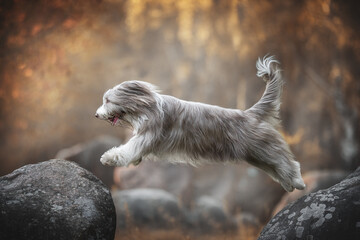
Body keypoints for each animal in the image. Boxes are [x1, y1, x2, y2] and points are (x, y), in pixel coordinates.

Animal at [95, 55, 304, 191]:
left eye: (107, 100)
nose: (96, 115)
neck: (148, 107)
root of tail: (250, 113)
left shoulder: (148, 134)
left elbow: (127, 150)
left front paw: (108, 157)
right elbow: (134, 152)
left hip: (264, 148)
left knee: (288, 163)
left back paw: (298, 182)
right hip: (255, 155)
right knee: (276, 168)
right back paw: (288, 184)